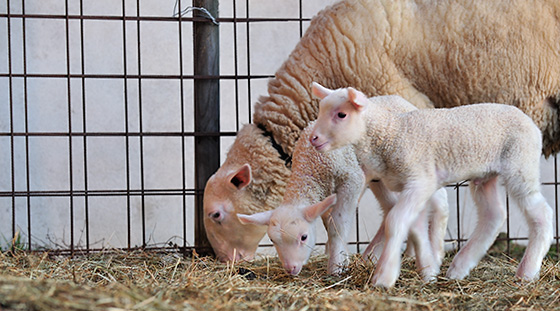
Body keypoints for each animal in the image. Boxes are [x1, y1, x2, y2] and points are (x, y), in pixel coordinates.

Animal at [310, 83, 556, 288]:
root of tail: (531, 123)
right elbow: (416, 228)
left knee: (541, 214)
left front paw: (384, 275)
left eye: (342, 114)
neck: (392, 133)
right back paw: (459, 268)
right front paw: (428, 270)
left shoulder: (420, 180)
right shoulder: (414, 187)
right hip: (486, 176)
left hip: (520, 164)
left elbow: (395, 221)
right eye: (321, 111)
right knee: (493, 215)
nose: (313, 138)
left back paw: (527, 271)